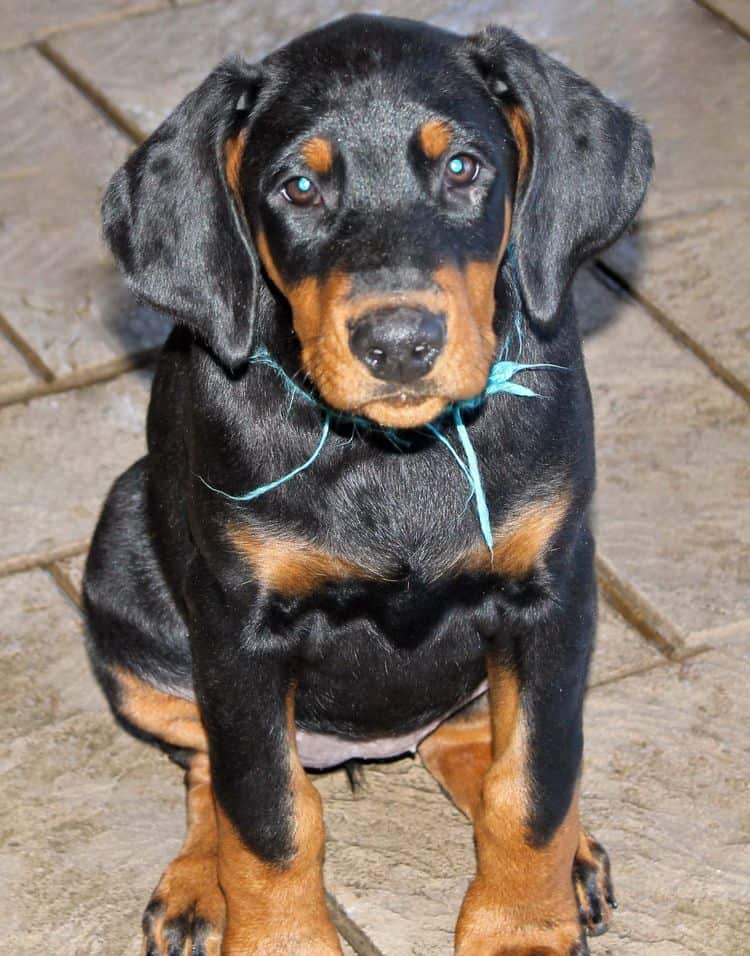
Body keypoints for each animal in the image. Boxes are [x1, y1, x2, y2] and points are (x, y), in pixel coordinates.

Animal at [83, 14, 652, 956]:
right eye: (299, 187)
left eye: (462, 167)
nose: (398, 344)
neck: (394, 452)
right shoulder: (240, 631)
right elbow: (269, 817)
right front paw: (277, 939)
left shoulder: (552, 591)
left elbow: (533, 783)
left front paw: (520, 926)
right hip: (124, 560)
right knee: (209, 765)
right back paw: (199, 885)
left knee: (477, 738)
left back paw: (569, 857)